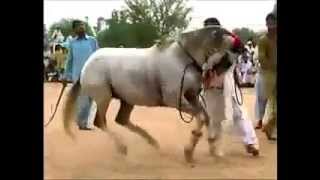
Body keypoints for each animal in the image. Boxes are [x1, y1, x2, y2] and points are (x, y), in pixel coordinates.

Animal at [63, 26, 235, 163]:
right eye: (228, 49)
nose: (229, 66)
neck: (182, 59)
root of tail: (86, 65)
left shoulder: (191, 96)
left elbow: (205, 117)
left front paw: (209, 147)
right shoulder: (174, 99)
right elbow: (200, 117)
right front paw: (189, 151)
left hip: (127, 100)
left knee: (121, 120)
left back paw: (154, 143)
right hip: (103, 97)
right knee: (100, 122)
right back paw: (123, 147)